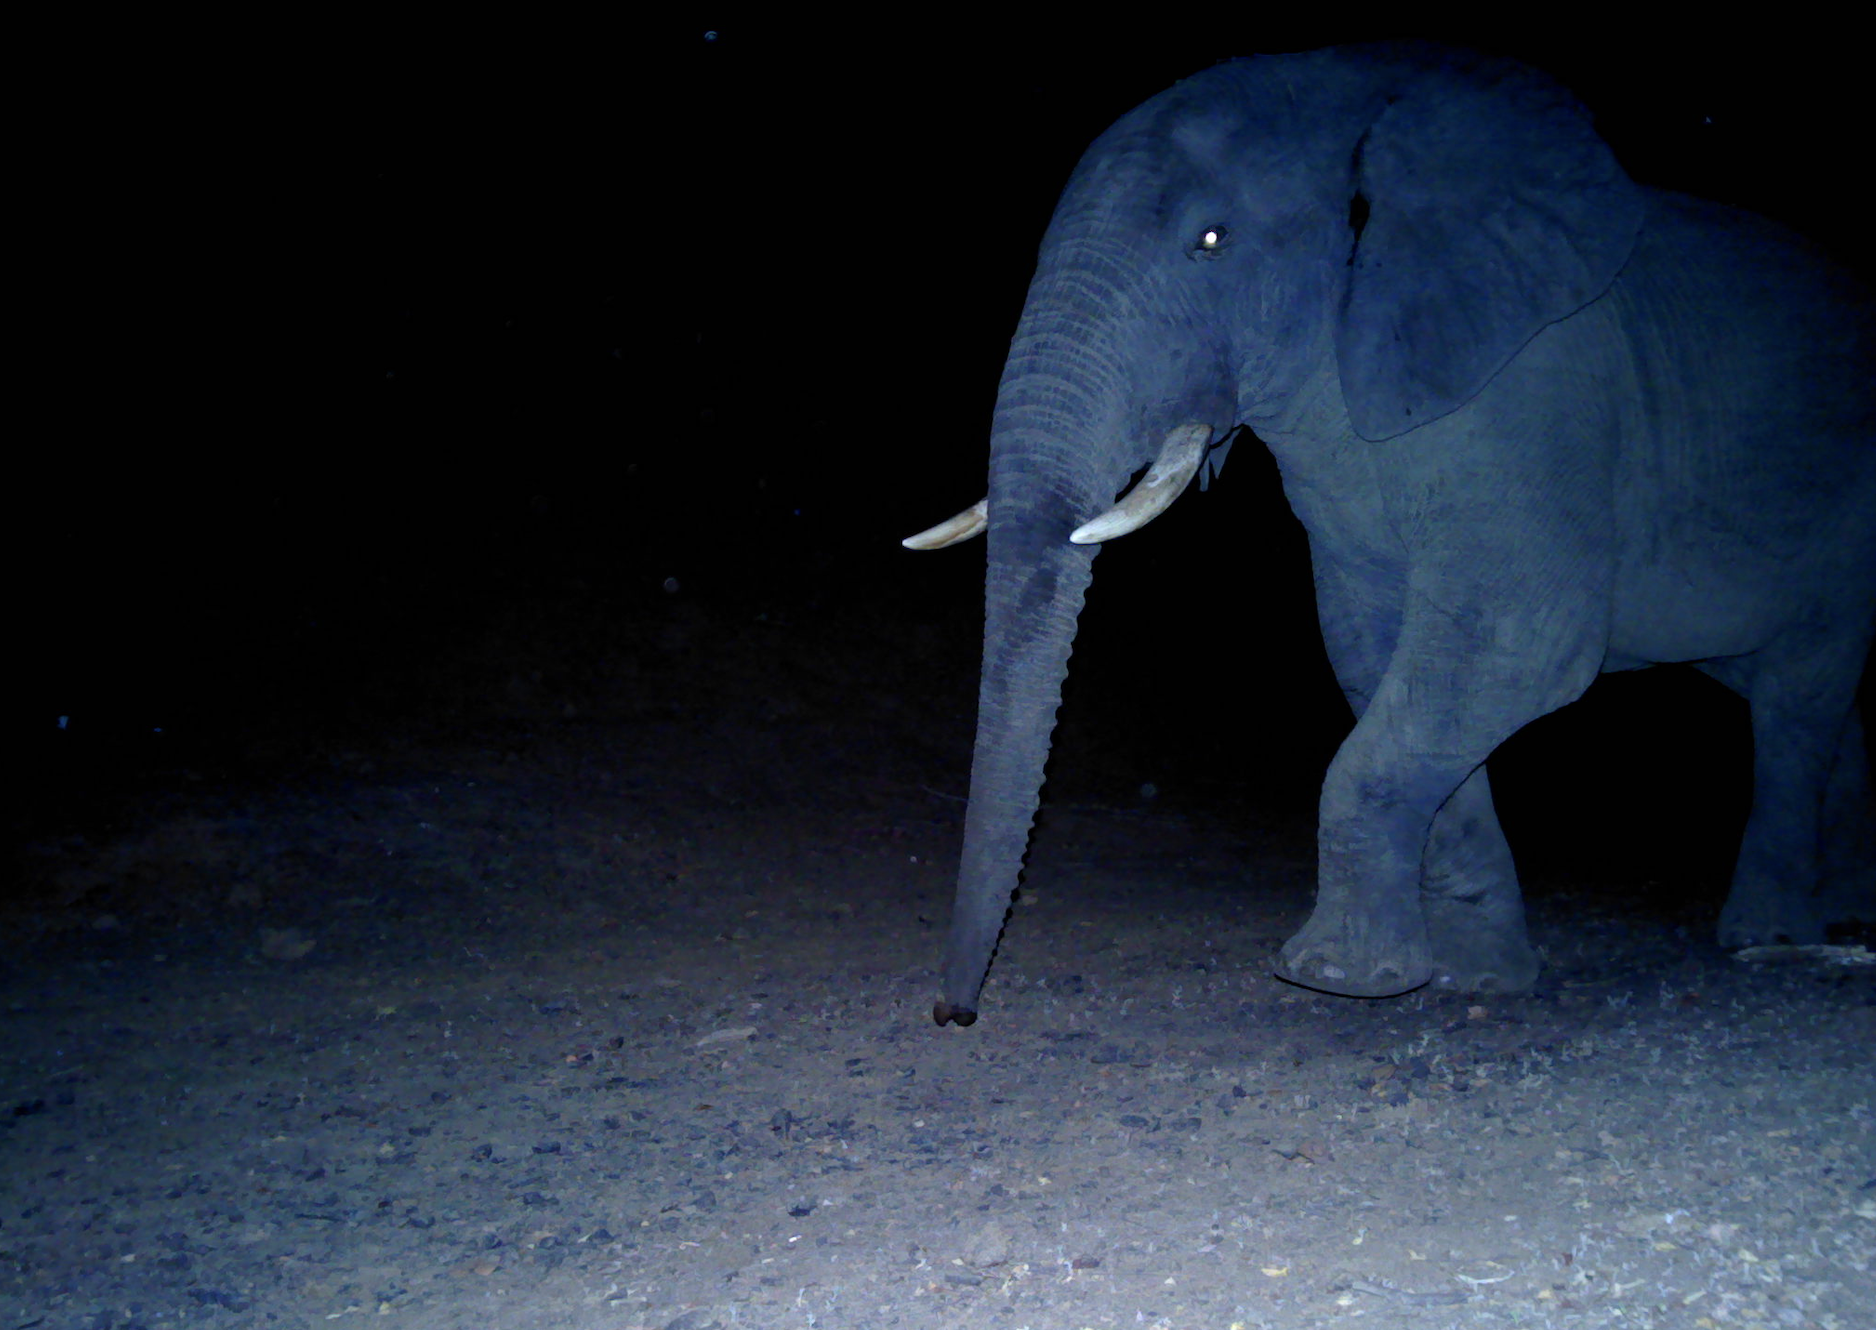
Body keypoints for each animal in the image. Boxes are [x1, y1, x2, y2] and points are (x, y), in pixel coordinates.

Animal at [905, 42, 1876, 1024]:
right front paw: (1472, 977)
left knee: (1797, 698)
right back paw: (1841, 921)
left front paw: (1333, 975)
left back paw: (1768, 939)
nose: (958, 1014)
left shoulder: (1536, 399)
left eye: (1210, 241)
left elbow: (1516, 649)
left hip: (1847, 513)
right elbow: (1375, 655)